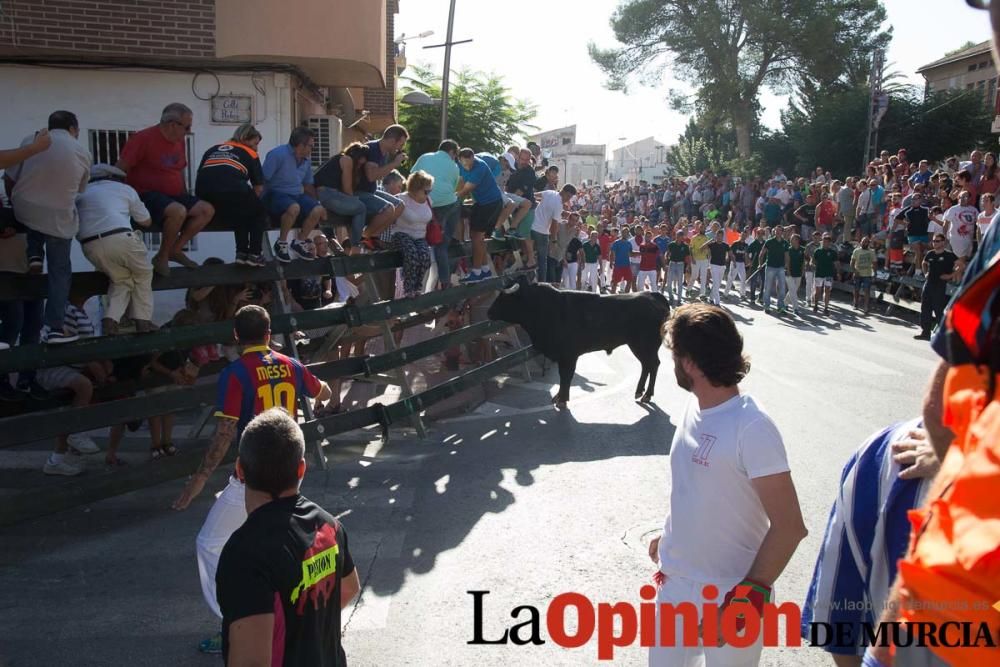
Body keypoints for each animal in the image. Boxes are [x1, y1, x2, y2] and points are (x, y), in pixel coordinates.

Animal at [486, 280, 672, 404]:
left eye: (504, 298)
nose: (489, 312)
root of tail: (652, 295)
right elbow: (565, 376)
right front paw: (559, 397)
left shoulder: (568, 355)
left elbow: (566, 376)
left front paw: (562, 399)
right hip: (639, 346)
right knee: (647, 365)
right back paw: (639, 391)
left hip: (645, 345)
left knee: (653, 364)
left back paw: (647, 395)